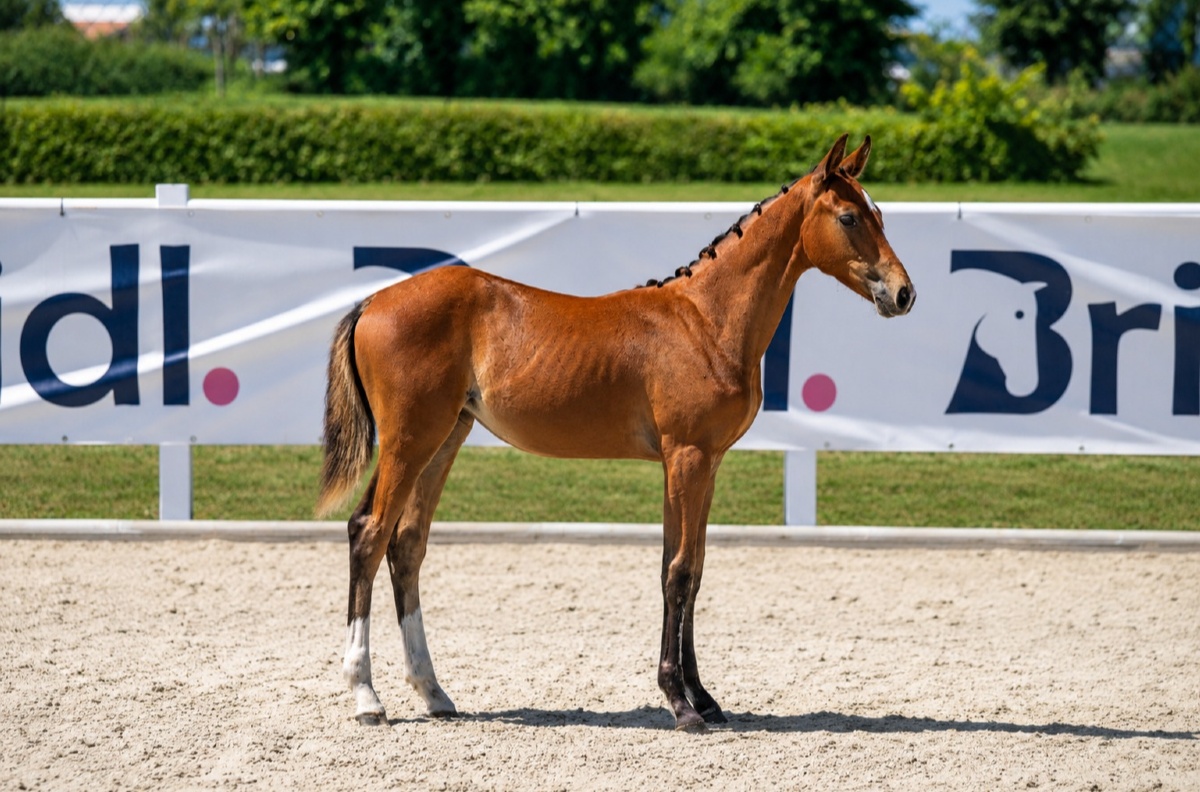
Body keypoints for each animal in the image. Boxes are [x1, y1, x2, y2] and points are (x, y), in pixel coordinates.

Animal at [317, 134, 916, 731]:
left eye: (880, 214)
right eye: (849, 217)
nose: (904, 294)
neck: (706, 322)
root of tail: (373, 301)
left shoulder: (702, 464)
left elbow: (690, 570)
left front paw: (704, 698)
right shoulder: (687, 457)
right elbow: (679, 572)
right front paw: (681, 703)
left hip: (443, 440)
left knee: (407, 545)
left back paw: (434, 692)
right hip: (410, 440)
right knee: (370, 534)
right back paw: (367, 696)